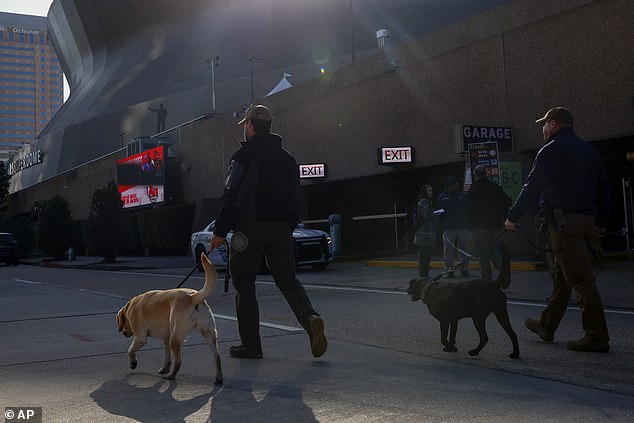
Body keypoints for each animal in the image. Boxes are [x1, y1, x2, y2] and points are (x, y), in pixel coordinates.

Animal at [117, 253, 223, 386]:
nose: (124, 333)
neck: (130, 307)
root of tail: (193, 297)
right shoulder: (166, 337)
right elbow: (167, 356)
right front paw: (165, 368)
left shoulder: (141, 338)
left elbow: (130, 350)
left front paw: (133, 363)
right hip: (208, 333)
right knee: (217, 356)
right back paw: (218, 377)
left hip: (175, 337)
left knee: (178, 361)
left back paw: (171, 376)